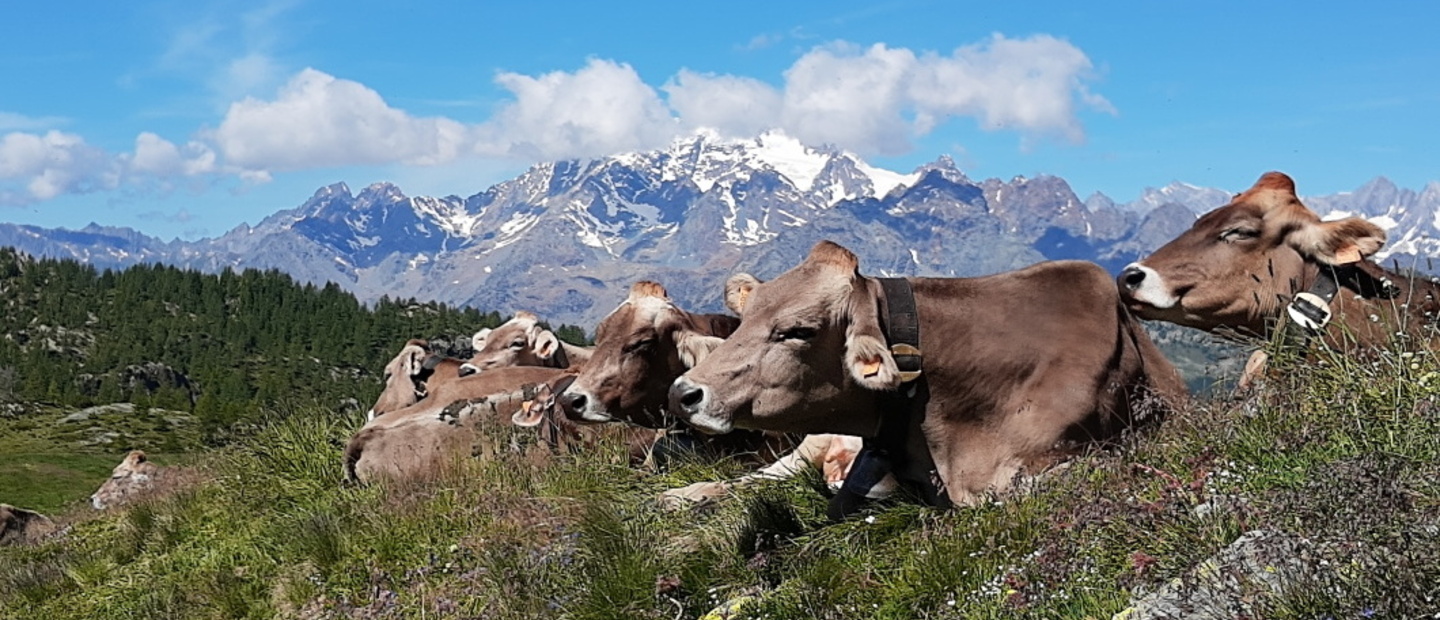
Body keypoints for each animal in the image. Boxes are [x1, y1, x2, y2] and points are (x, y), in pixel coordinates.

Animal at [668, 238, 1186, 509]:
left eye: (797, 331)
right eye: (745, 320)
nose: (682, 393)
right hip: (811, 443)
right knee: (759, 478)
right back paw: (683, 495)